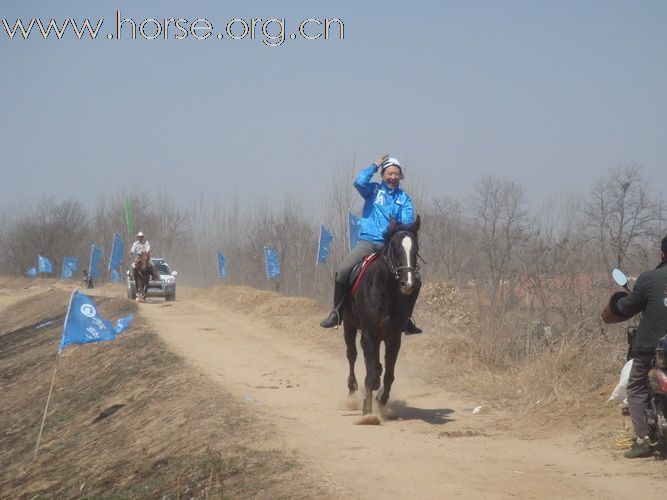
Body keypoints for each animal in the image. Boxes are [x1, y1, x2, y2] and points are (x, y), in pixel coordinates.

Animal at [344, 215, 422, 414]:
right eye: (394, 246)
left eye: (416, 248)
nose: (408, 283)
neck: (385, 289)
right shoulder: (368, 334)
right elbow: (370, 373)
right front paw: (368, 410)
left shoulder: (393, 337)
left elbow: (389, 375)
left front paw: (382, 398)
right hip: (349, 325)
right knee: (352, 355)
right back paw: (352, 392)